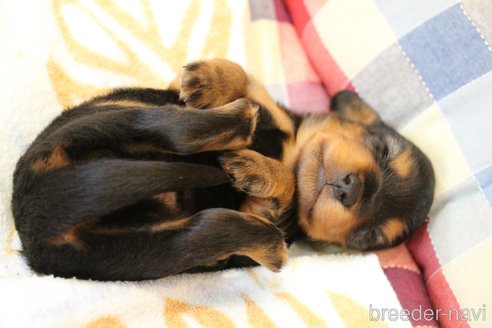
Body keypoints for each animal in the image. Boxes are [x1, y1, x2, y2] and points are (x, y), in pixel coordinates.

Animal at [11, 58, 434, 280]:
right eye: (381, 148)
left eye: (368, 237)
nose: (350, 189)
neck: (287, 151)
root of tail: (36, 215)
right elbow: (247, 78)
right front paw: (208, 80)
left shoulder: (264, 208)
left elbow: (282, 191)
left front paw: (255, 169)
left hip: (156, 246)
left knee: (209, 211)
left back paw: (268, 242)